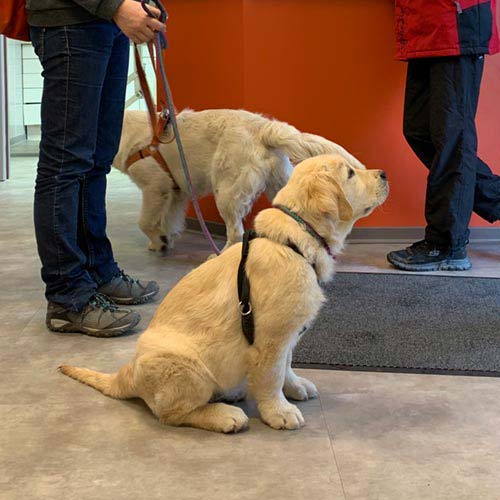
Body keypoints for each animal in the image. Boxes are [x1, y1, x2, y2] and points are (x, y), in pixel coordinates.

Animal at [58, 154, 386, 432]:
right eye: (350, 173)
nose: (383, 173)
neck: (296, 239)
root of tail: (128, 374)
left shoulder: (288, 334)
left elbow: (287, 365)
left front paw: (295, 386)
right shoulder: (271, 337)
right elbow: (272, 376)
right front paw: (279, 411)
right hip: (185, 368)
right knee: (170, 414)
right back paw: (225, 416)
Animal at [113, 108, 366, 252]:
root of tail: (264, 127)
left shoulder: (155, 187)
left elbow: (145, 222)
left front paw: (158, 241)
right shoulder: (176, 192)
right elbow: (169, 219)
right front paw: (166, 238)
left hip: (226, 192)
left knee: (236, 233)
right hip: (279, 185)